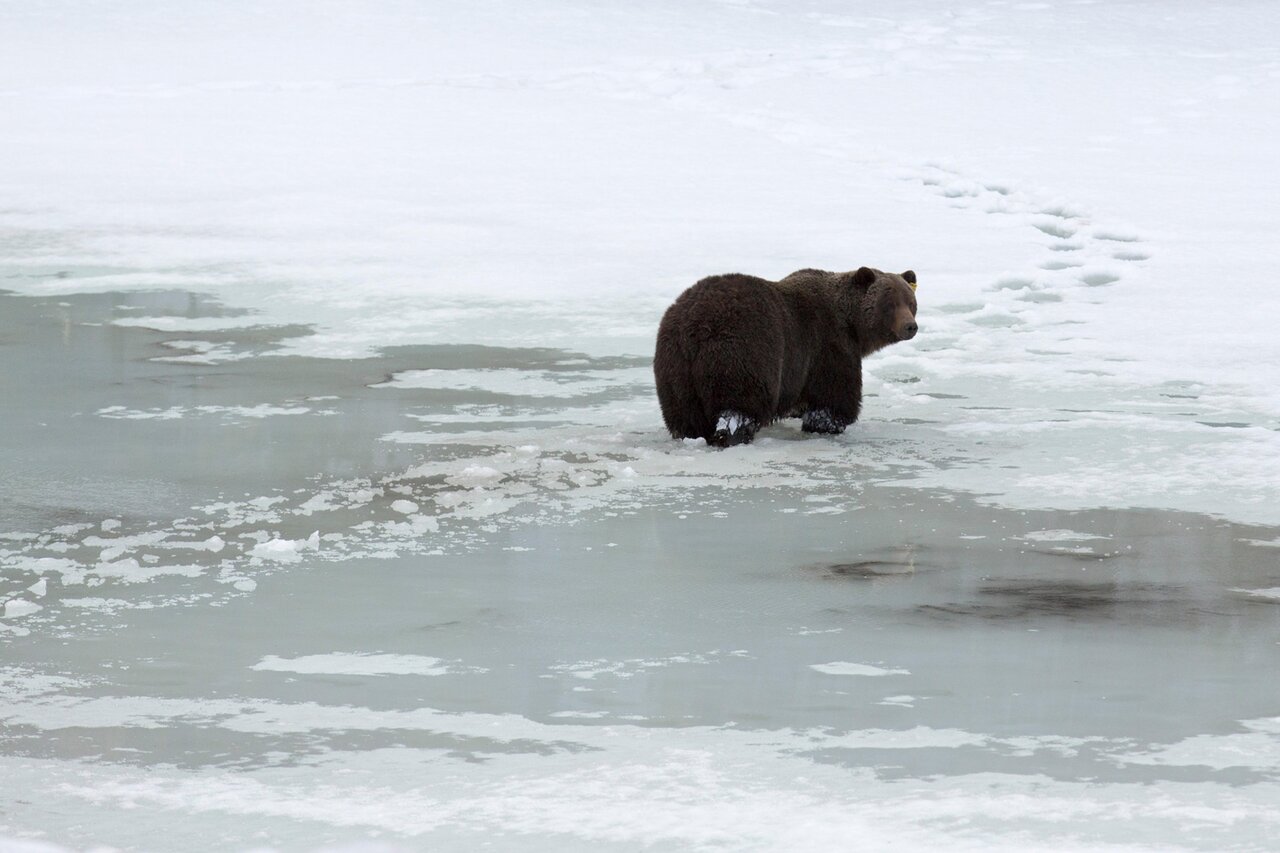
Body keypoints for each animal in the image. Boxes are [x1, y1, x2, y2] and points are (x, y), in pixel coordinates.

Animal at [655, 267, 916, 445]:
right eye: (889, 303)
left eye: (910, 301)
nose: (910, 326)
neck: (853, 327)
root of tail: (694, 327)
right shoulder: (827, 346)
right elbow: (833, 396)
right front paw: (828, 424)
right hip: (742, 352)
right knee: (737, 406)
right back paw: (732, 435)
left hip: (675, 367)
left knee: (684, 415)